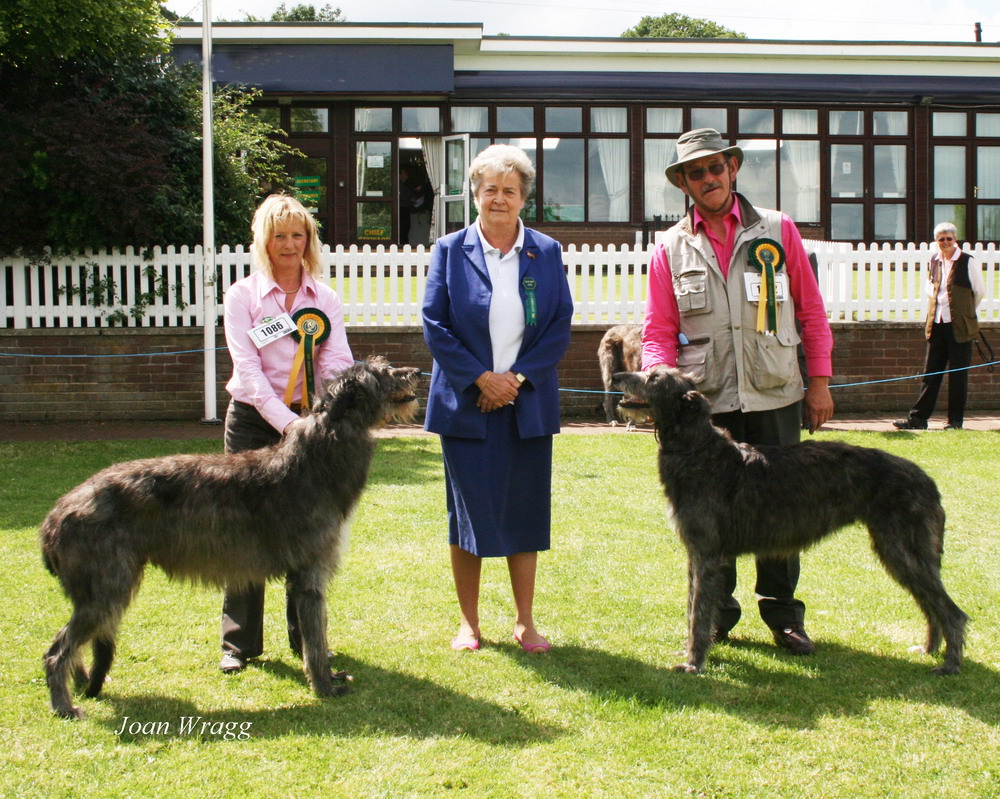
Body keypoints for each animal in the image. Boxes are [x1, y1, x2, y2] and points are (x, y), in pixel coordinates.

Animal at [40, 356, 418, 720]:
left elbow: (317, 633)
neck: (317, 460)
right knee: (57, 650)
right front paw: (325, 685)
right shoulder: (309, 574)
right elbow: (314, 638)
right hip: (106, 585)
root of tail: (55, 515)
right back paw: (64, 706)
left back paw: (83, 684)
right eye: (384, 372)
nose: (415, 371)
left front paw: (330, 675)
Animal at [612, 368, 964, 676]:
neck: (696, 449)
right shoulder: (695, 554)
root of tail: (926, 479)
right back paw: (929, 648)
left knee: (951, 610)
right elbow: (691, 608)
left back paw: (950, 664)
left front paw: (694, 663)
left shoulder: (707, 555)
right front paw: (691, 653)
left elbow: (698, 613)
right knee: (930, 603)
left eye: (654, 378)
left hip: (902, 548)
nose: (616, 376)